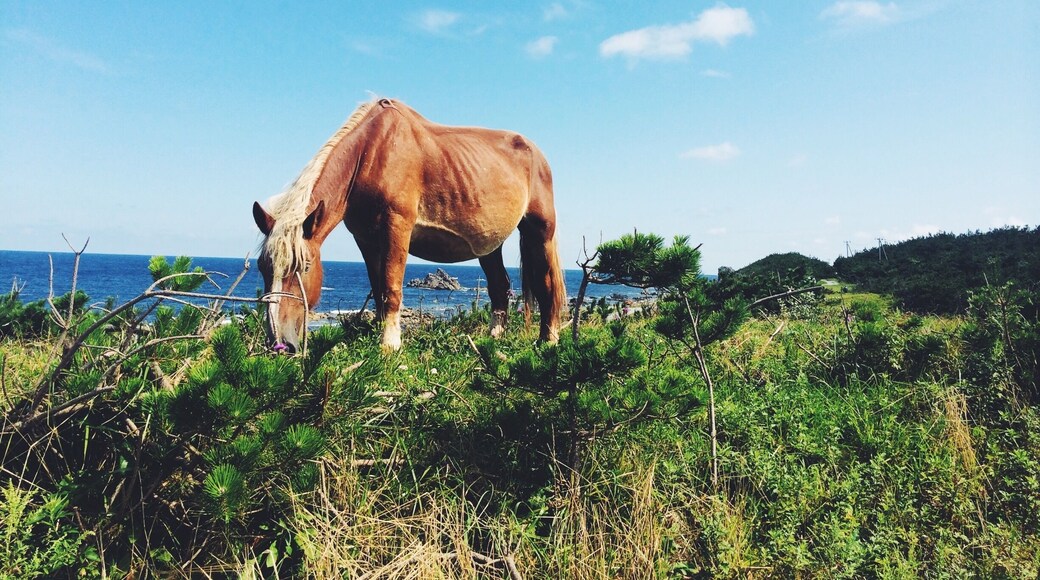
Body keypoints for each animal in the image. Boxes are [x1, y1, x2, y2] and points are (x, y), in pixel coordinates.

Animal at [252, 98, 566, 353]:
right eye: (262, 267)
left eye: (304, 267)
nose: (280, 343)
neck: (370, 153)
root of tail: (537, 154)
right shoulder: (365, 239)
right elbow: (378, 290)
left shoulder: (397, 227)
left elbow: (392, 288)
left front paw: (390, 344)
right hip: (489, 244)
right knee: (500, 286)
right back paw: (494, 338)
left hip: (539, 231)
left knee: (546, 284)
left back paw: (548, 339)